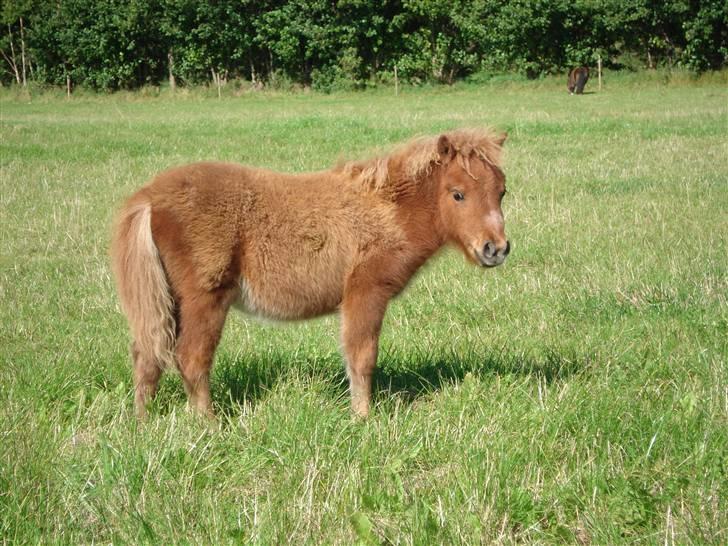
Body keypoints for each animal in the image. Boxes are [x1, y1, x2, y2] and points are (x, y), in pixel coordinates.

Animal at [112, 127, 512, 416]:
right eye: (457, 194)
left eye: (502, 192)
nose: (496, 249)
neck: (385, 212)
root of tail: (149, 197)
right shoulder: (365, 292)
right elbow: (361, 357)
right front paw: (363, 417)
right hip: (203, 299)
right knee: (191, 358)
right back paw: (207, 424)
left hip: (166, 298)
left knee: (147, 354)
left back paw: (142, 421)